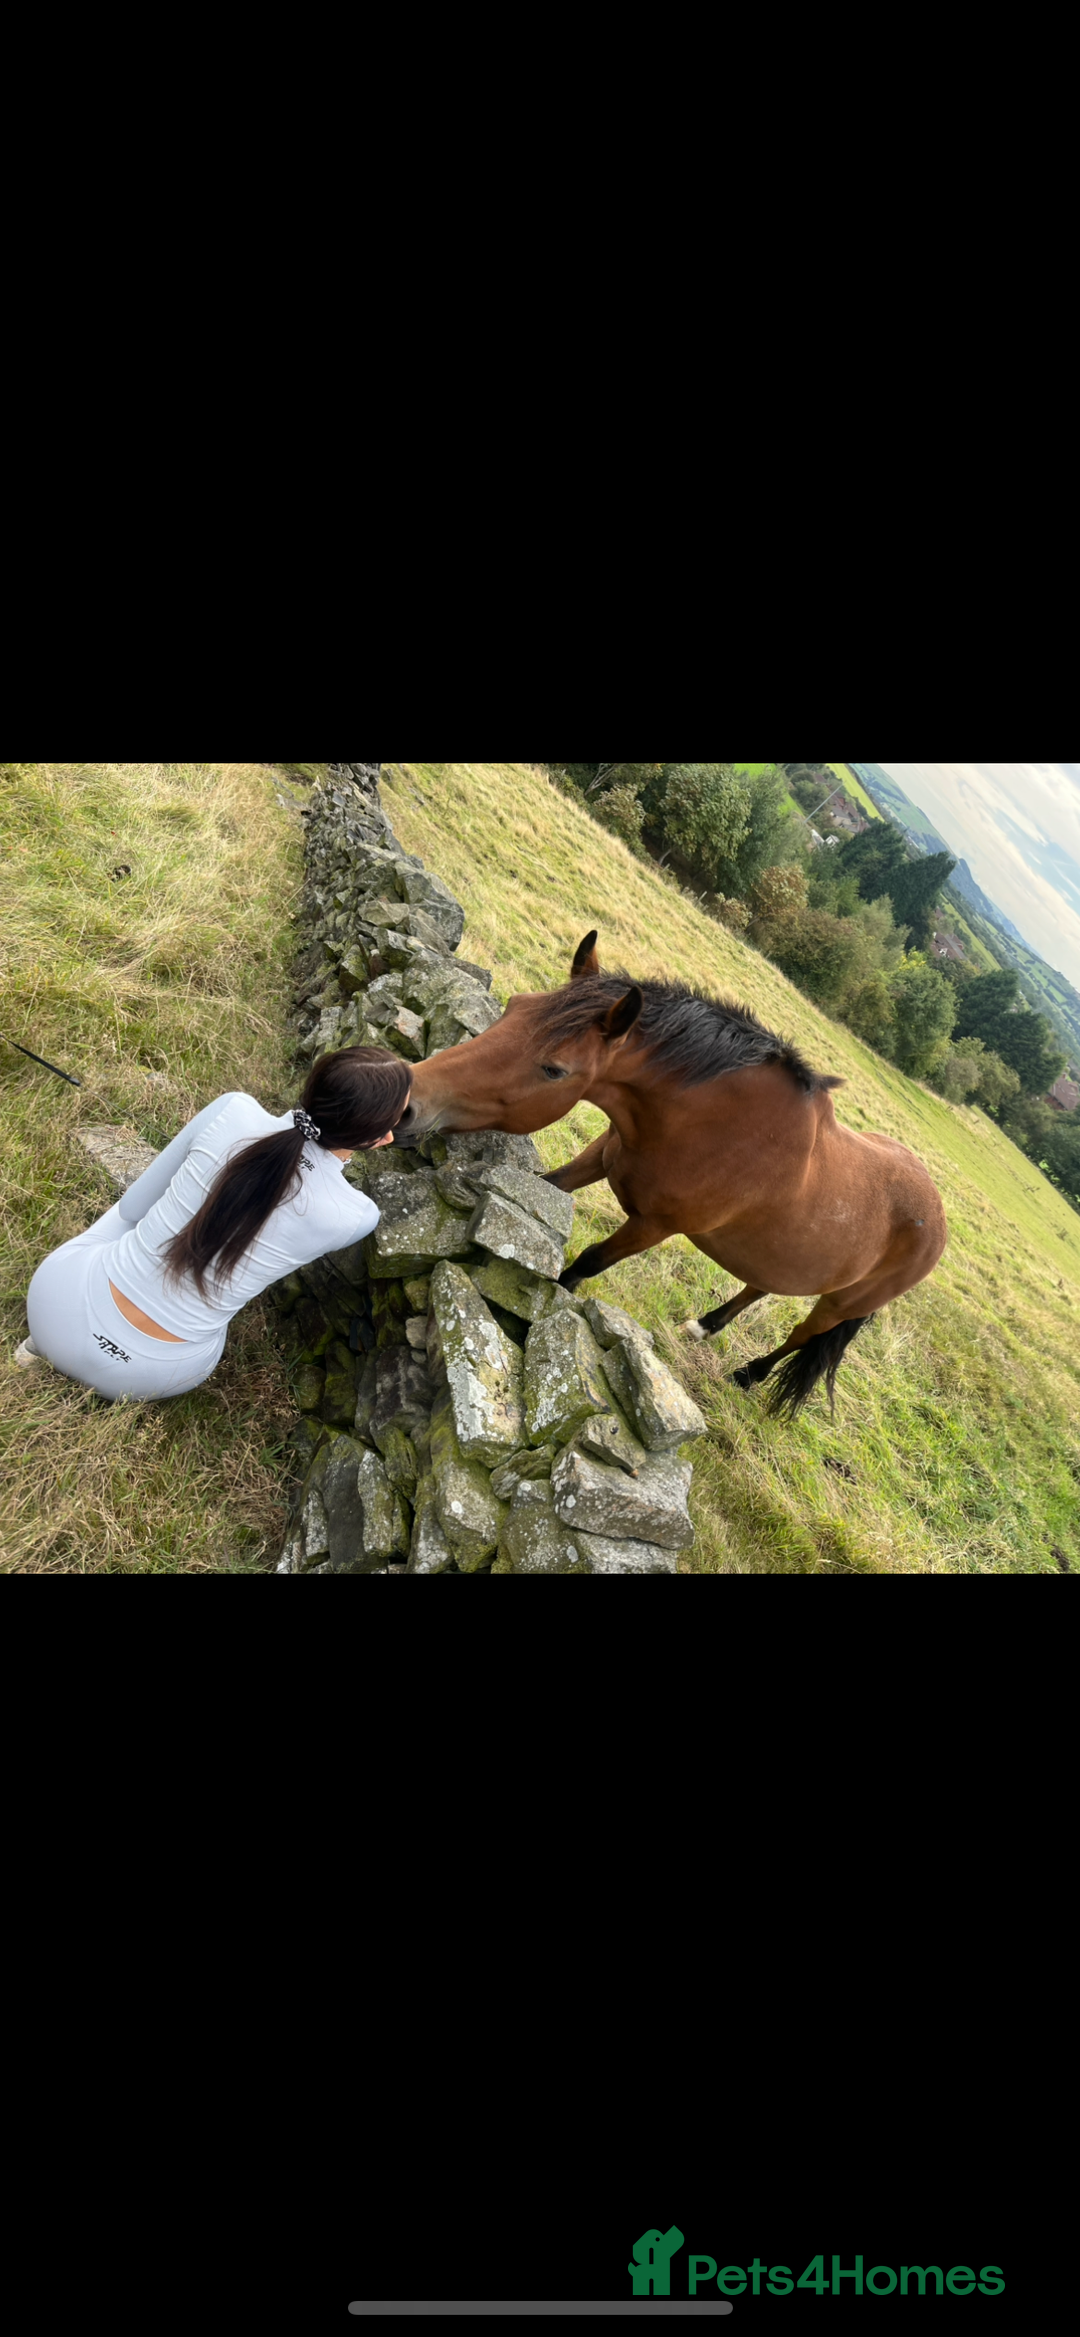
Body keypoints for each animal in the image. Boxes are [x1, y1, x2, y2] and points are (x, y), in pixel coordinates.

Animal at [394, 932, 948, 1417]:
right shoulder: (601, 1159)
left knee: (800, 1336)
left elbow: (589, 1262)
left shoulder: (655, 1226)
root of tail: (937, 1221)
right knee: (760, 1286)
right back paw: (704, 1326)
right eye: (513, 1006)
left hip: (839, 1305)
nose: (407, 1102)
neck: (713, 1125)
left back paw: (747, 1375)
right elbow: (548, 1188)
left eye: (554, 1069)